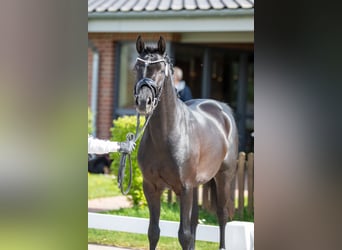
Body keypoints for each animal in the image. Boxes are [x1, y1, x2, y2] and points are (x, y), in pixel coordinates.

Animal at [134, 35, 238, 250]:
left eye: (160, 69)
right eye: (137, 67)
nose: (143, 102)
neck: (166, 135)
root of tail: (222, 109)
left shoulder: (184, 188)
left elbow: (184, 235)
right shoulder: (151, 187)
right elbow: (153, 232)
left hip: (223, 177)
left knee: (222, 215)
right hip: (197, 185)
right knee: (195, 220)